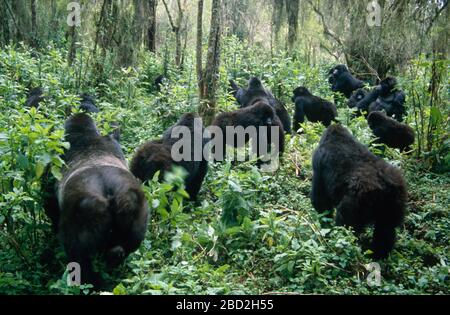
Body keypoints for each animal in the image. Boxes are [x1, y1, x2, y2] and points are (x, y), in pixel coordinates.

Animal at [42, 113, 149, 286]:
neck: (87, 135)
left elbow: (50, 207)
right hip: (134, 201)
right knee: (127, 246)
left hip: (88, 210)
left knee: (80, 259)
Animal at [312, 123, 408, 260]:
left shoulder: (318, 159)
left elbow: (320, 201)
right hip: (395, 198)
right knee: (386, 227)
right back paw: (379, 254)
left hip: (359, 199)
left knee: (346, 224)